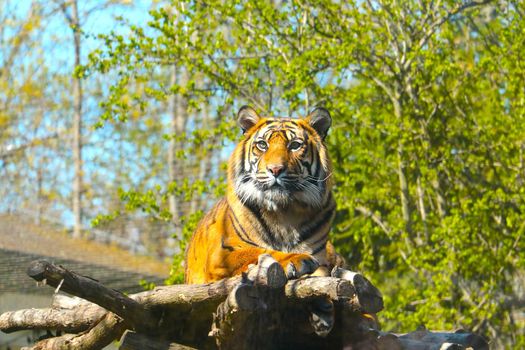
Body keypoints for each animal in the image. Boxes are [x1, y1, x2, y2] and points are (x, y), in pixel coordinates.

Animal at [185, 105, 344, 284]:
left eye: (295, 145)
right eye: (262, 145)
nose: (275, 169)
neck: (285, 214)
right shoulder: (221, 255)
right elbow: (260, 252)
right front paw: (297, 259)